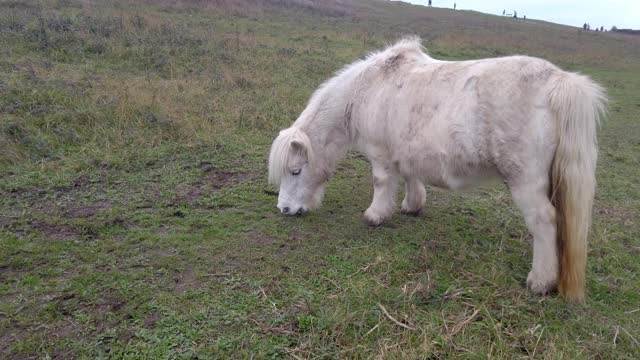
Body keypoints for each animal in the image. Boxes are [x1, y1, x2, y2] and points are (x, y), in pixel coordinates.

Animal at [268, 37, 608, 300]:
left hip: (526, 181)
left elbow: (381, 182)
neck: (369, 88)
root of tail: (558, 83)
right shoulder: (405, 151)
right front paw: (412, 206)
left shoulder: (380, 155)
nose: (284, 209)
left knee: (544, 222)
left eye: (295, 171)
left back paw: (540, 280)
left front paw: (375, 215)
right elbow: (410, 176)